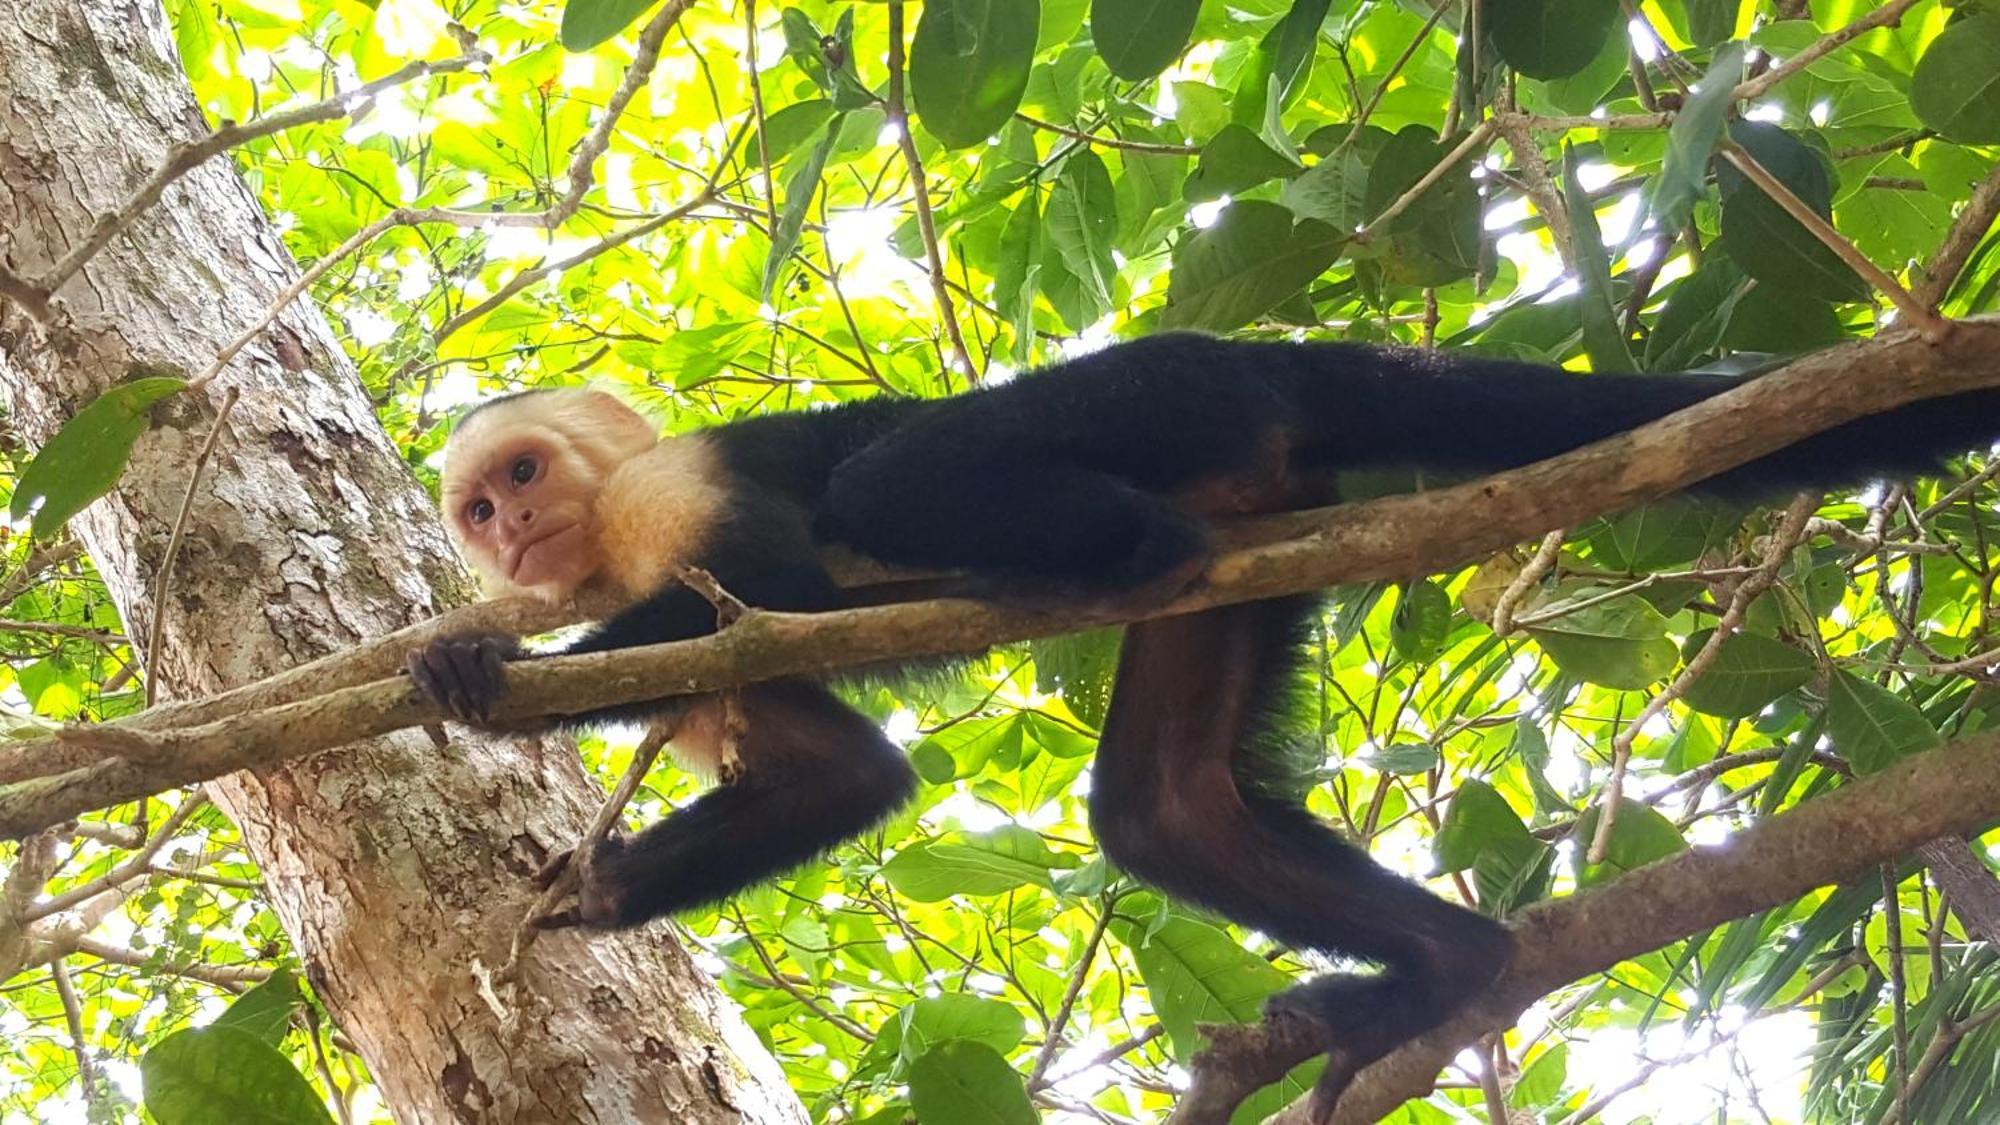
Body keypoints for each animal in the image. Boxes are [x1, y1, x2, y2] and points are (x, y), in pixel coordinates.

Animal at [406, 328, 2000, 1104]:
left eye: (525, 475)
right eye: (480, 507)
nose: (509, 534)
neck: (609, 545)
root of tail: (1267, 348)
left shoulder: (669, 508)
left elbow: (787, 575)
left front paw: (473, 681)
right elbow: (842, 779)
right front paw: (596, 890)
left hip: (1164, 391)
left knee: (893, 483)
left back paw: (1101, 546)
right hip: (1255, 510)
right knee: (1162, 810)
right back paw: (1448, 966)